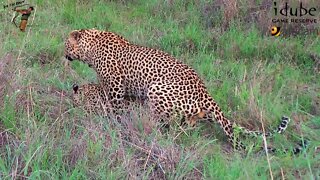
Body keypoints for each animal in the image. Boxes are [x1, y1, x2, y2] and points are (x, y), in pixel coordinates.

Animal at [65, 29, 290, 149]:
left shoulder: (115, 85)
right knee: (189, 124)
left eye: (66, 44)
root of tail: (205, 93)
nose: (64, 55)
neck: (91, 47)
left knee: (170, 125)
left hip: (157, 89)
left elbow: (114, 105)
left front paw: (115, 121)